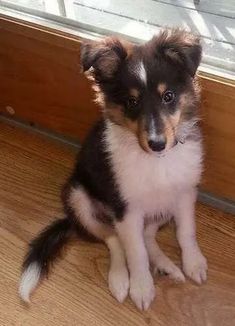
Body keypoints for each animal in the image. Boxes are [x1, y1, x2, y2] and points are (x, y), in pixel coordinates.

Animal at [19, 28, 207, 310]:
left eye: (168, 96)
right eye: (131, 102)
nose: (157, 143)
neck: (157, 161)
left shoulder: (184, 192)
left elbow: (186, 232)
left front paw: (194, 263)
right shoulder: (126, 208)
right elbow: (135, 252)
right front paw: (141, 287)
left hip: (161, 205)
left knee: (147, 234)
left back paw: (166, 266)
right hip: (78, 199)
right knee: (114, 239)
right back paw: (119, 279)